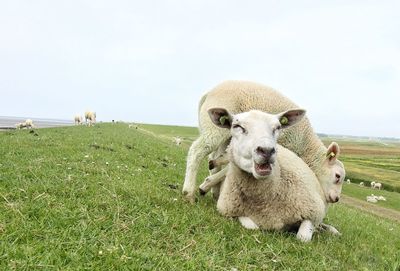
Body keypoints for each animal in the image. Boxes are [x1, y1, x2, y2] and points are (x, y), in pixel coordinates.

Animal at [183, 81, 346, 206]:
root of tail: (209, 92)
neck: (305, 146)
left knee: (213, 155)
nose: (336, 199)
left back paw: (215, 190)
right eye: (337, 176)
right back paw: (189, 192)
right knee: (197, 151)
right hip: (215, 129)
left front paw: (208, 184)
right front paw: (205, 185)